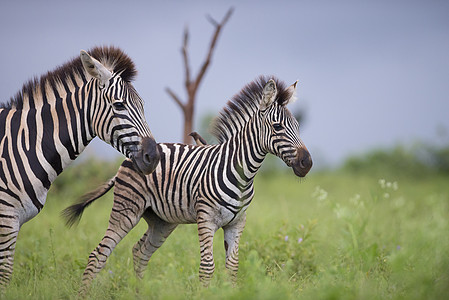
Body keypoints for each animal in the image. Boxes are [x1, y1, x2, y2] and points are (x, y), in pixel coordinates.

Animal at [0, 46, 160, 286]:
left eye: (142, 106)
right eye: (119, 104)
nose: (155, 157)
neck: (23, 144)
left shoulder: (15, 221)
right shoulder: (7, 218)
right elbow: (5, 274)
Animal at [64, 75, 312, 292]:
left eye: (298, 126)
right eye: (278, 127)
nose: (307, 163)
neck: (242, 173)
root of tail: (130, 157)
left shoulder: (237, 223)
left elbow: (232, 267)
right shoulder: (206, 220)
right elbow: (207, 268)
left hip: (162, 221)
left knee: (140, 251)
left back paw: (139, 293)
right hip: (127, 211)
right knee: (99, 254)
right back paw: (84, 293)